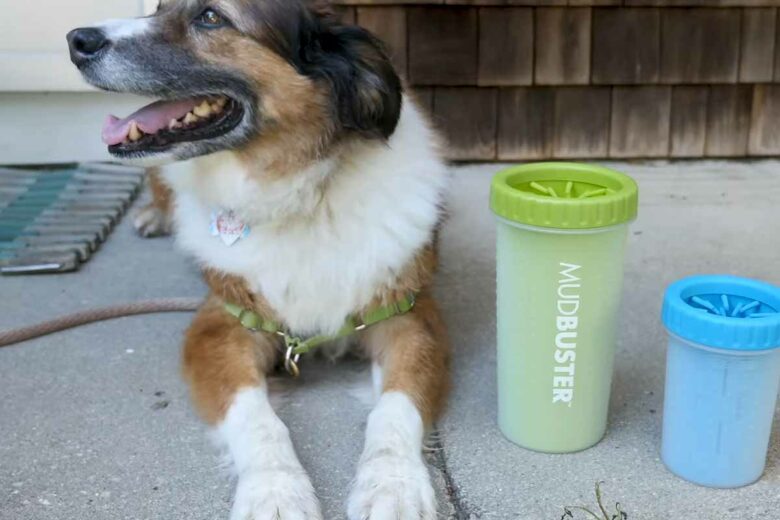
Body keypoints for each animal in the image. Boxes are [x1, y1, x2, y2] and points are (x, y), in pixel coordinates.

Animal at [67, 2, 450, 516]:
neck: (302, 195)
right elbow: (257, 418)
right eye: (159, 8)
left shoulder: (411, 317)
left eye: (211, 17)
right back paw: (153, 216)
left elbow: (395, 408)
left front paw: (394, 485)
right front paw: (276, 492)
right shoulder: (220, 324)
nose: (76, 40)